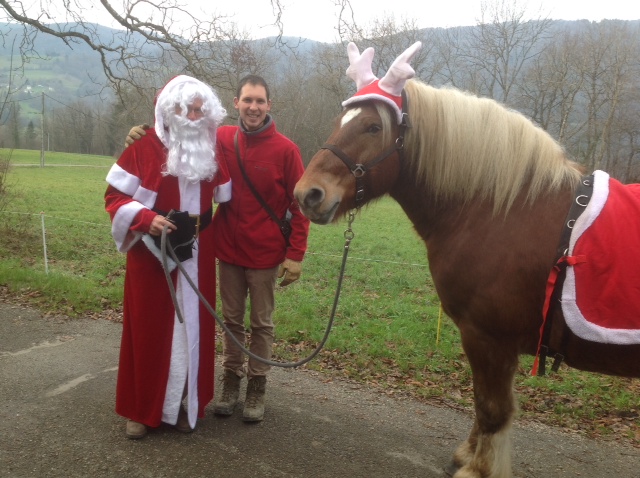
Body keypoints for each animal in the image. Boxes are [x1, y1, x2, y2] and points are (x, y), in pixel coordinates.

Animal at [294, 42, 640, 478]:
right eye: (341, 121)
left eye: (373, 127)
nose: (308, 194)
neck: (502, 210)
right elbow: (483, 403)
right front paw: (470, 455)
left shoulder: (488, 337)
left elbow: (493, 409)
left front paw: (478, 469)